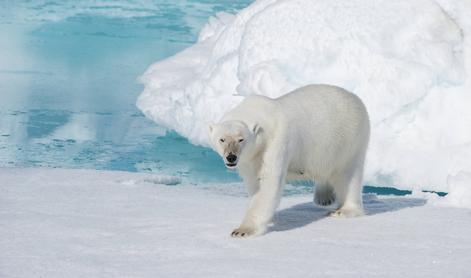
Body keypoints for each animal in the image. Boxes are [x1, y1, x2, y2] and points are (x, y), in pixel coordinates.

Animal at [209, 84, 368, 237]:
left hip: (349, 140)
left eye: (241, 139)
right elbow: (254, 183)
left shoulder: (276, 142)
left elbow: (269, 183)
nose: (231, 157)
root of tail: (355, 98)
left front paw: (242, 230)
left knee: (349, 175)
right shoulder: (250, 159)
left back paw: (344, 210)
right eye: (222, 139)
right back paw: (324, 197)